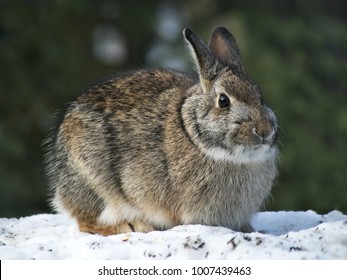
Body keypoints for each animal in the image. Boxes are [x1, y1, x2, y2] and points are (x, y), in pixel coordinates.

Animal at [44, 26, 278, 236]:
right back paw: (131, 226)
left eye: (261, 98)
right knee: (86, 221)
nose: (264, 131)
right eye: (223, 101)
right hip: (93, 180)